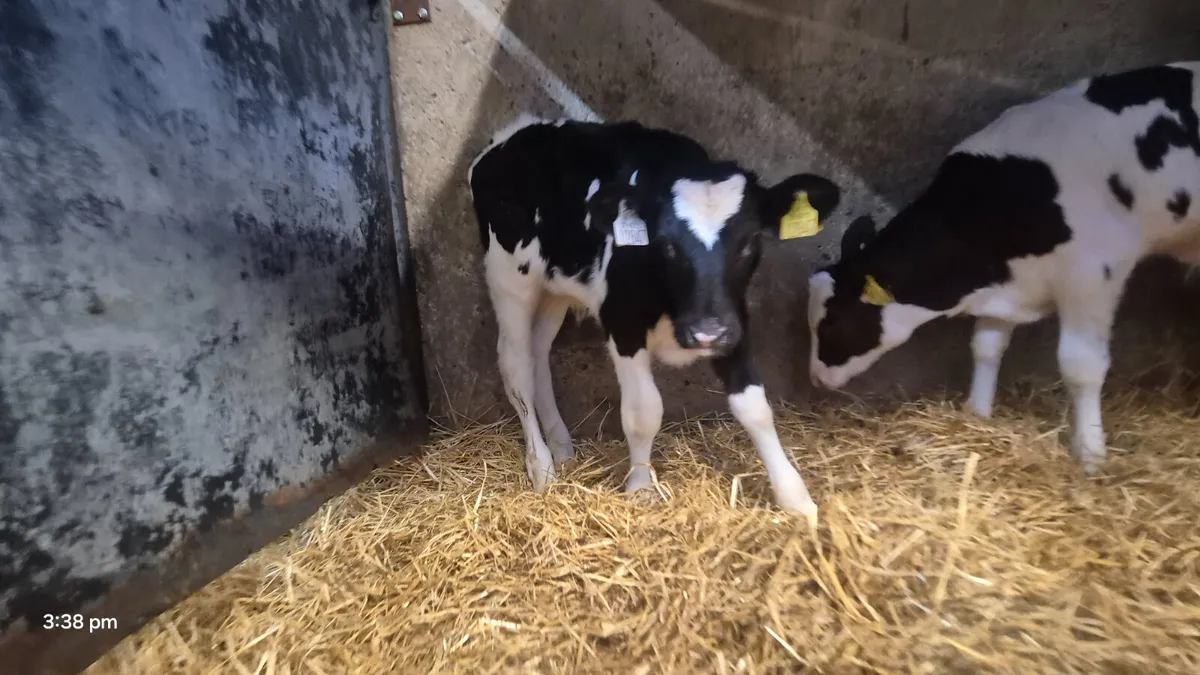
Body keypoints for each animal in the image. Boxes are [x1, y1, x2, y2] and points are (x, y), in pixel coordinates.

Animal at [468, 115, 842, 515]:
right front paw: (640, 488)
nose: (706, 333)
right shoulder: (623, 323)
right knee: (516, 367)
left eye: (750, 241)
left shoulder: (733, 319)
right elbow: (643, 412)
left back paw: (561, 446)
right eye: (666, 244)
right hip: (510, 278)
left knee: (539, 356)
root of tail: (516, 131)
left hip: (556, 288)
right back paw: (541, 467)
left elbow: (754, 406)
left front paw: (794, 497)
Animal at [808, 62, 1200, 472]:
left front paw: (1090, 454)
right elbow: (986, 346)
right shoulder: (1007, 281)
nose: (816, 378)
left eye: (832, 322)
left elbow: (1081, 365)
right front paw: (977, 414)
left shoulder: (1093, 272)